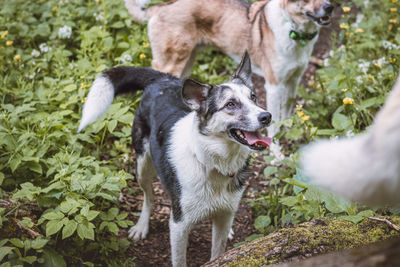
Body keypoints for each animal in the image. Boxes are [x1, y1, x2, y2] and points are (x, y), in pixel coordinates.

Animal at [78, 52, 272, 267]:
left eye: (253, 97)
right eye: (230, 104)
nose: (267, 116)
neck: (211, 162)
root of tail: (163, 79)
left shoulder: (224, 214)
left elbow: (218, 251)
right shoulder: (179, 225)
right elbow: (179, 259)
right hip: (142, 166)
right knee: (148, 197)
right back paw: (141, 226)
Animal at [124, 0, 334, 156]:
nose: (330, 7)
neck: (293, 29)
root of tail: (162, 6)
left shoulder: (294, 79)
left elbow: (288, 114)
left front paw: (291, 134)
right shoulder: (274, 86)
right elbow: (274, 126)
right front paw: (276, 153)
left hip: (187, 62)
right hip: (172, 62)